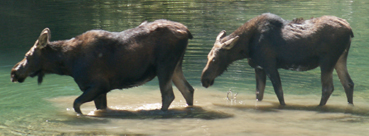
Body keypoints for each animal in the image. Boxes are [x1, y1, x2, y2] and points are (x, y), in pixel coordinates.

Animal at [10, 19, 196, 115]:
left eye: (27, 56)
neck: (68, 65)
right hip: (176, 66)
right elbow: (99, 108)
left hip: (164, 65)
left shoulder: (99, 85)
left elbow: (76, 104)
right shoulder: (100, 90)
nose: (14, 72)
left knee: (168, 95)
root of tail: (187, 31)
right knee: (188, 89)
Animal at [201, 12, 354, 106]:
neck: (246, 48)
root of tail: (350, 30)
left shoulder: (270, 65)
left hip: (327, 60)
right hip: (340, 58)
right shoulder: (259, 67)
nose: (204, 79)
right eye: (207, 56)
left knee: (328, 88)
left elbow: (279, 91)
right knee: (348, 84)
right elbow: (259, 93)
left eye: (214, 59)